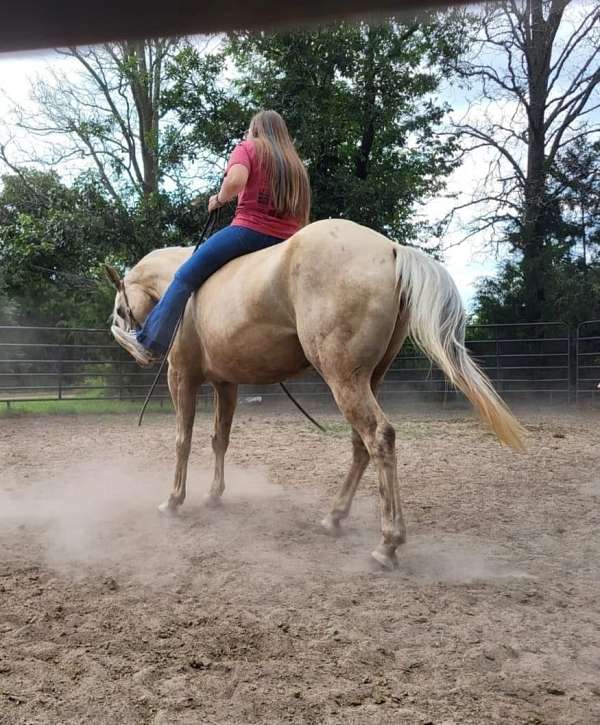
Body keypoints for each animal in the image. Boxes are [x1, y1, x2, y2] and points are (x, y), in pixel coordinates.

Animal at [109, 218, 524, 568]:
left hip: (343, 379)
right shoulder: (226, 384)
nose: (137, 349)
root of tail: (390, 249)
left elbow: (183, 440)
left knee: (379, 437)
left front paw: (173, 500)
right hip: (366, 380)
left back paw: (387, 544)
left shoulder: (181, 378)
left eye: (118, 311)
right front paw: (213, 495)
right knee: (362, 444)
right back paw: (334, 517)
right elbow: (219, 439)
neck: (178, 290)